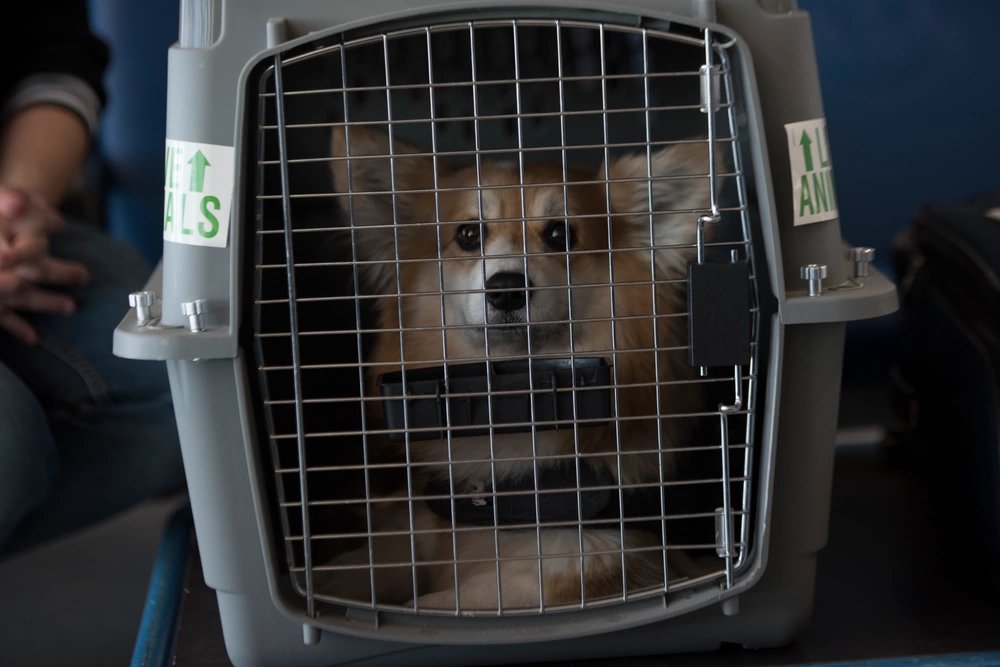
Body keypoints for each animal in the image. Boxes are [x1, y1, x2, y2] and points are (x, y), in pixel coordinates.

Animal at [320, 128, 712, 612]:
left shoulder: (577, 565)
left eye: (560, 233)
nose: (506, 289)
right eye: (468, 234)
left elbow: (432, 604)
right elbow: (373, 562)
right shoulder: (421, 530)